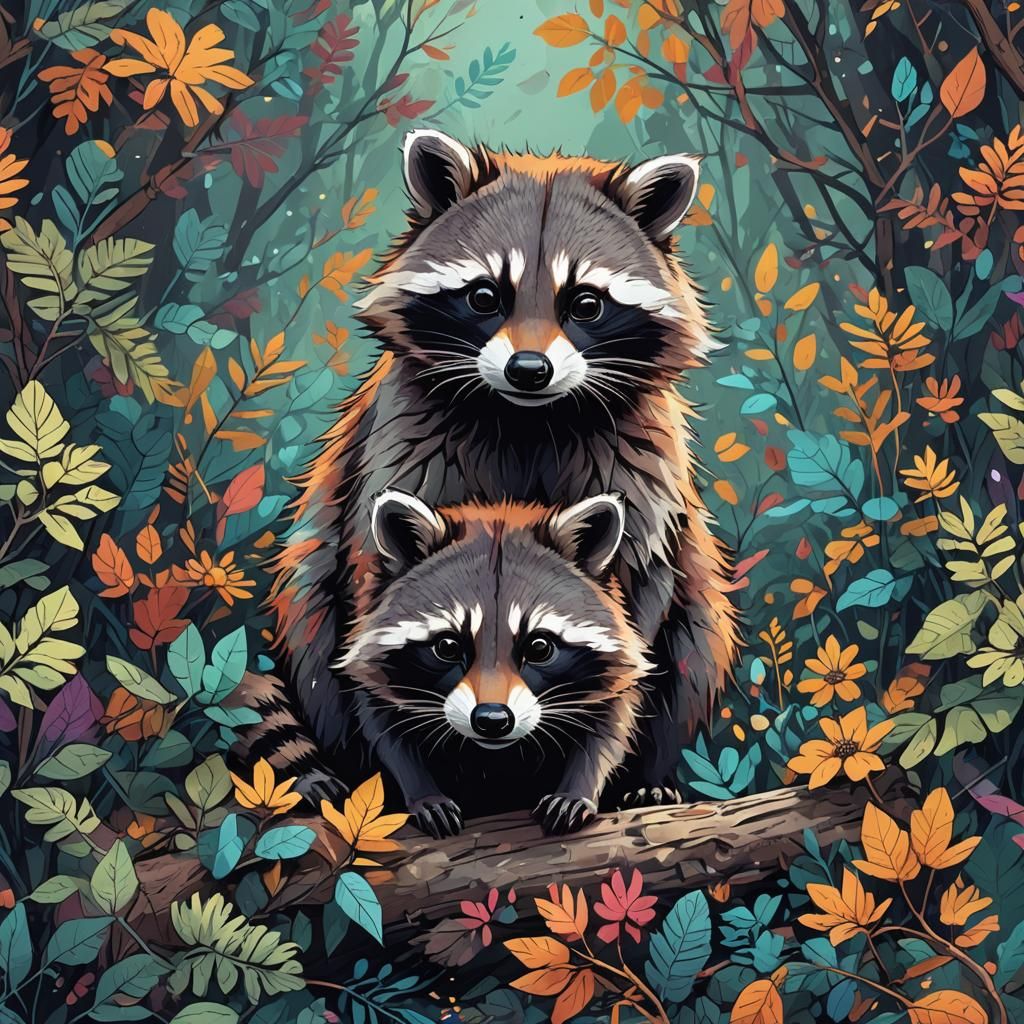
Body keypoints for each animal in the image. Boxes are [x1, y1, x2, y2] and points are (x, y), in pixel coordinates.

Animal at [268, 130, 741, 811]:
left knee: (695, 641)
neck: (527, 418)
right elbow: (370, 580)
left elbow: (638, 599)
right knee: (311, 616)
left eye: (586, 303)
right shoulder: (404, 446)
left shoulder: (642, 462)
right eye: (486, 296)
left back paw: (646, 777)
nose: (529, 369)